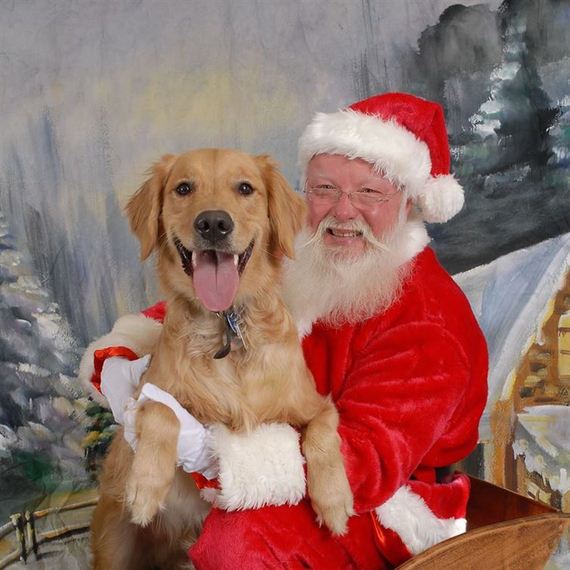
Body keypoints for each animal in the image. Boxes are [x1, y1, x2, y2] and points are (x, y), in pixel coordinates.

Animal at [90, 150, 350, 568]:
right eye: (183, 188)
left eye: (245, 188)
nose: (213, 223)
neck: (226, 325)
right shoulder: (148, 389)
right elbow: (162, 410)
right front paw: (146, 486)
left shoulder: (316, 405)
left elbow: (323, 436)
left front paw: (335, 502)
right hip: (113, 543)